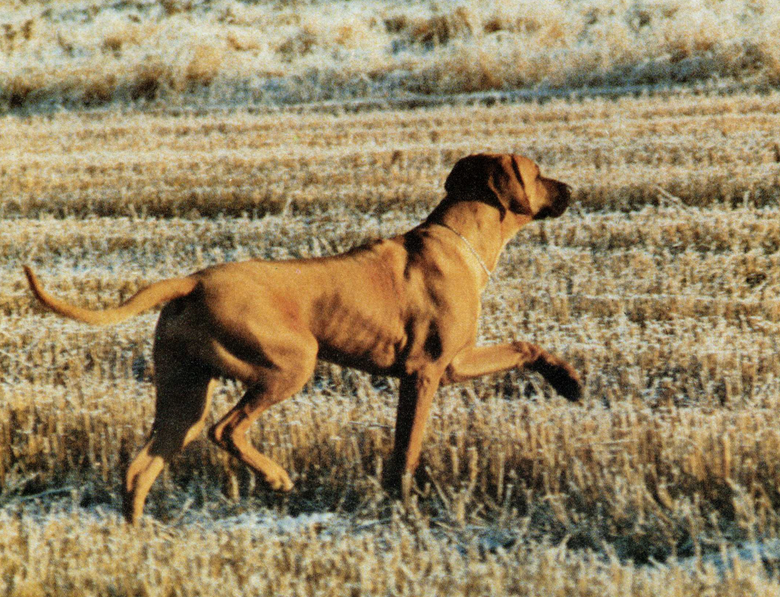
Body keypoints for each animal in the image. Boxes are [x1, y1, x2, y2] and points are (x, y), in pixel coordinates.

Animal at [22, 152, 580, 520]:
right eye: (536, 173)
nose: (572, 190)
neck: (458, 240)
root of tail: (195, 280)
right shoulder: (424, 373)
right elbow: (407, 447)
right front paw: (401, 501)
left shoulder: (456, 363)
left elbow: (525, 346)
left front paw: (568, 380)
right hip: (290, 363)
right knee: (226, 430)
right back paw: (274, 476)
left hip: (182, 394)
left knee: (141, 468)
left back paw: (137, 537)